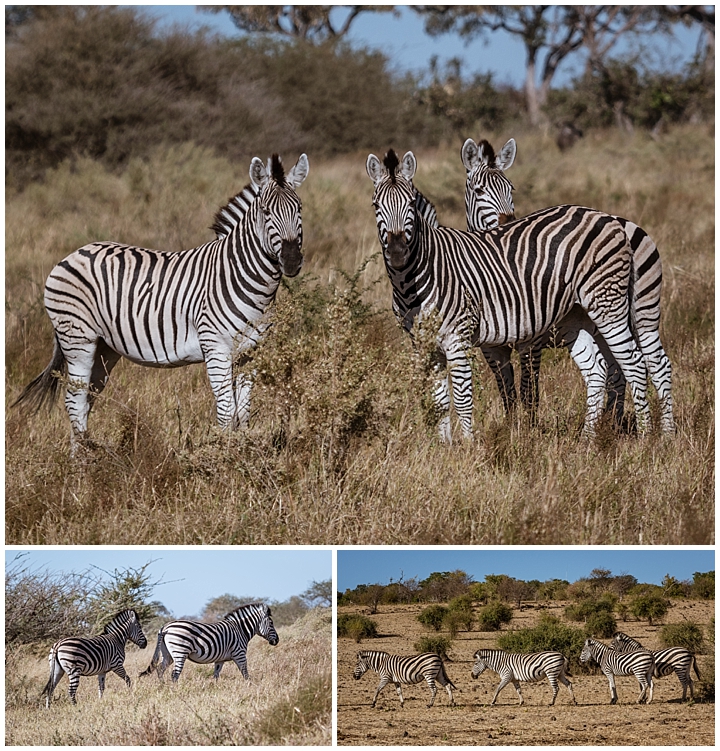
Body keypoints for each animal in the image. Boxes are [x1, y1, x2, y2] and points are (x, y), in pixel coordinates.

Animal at [11, 150, 310, 450]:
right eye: (266, 211)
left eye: (300, 209)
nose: (291, 261)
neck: (246, 280)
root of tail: (74, 253)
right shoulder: (216, 348)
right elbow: (226, 412)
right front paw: (222, 457)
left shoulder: (251, 353)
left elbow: (243, 414)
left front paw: (242, 455)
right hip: (77, 338)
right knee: (74, 399)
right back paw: (81, 463)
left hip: (103, 347)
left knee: (85, 400)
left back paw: (85, 456)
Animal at [140, 604, 278, 684]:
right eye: (271, 623)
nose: (277, 641)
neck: (240, 630)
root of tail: (165, 627)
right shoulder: (240, 654)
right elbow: (245, 673)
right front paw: (249, 686)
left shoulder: (220, 659)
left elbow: (216, 675)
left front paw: (214, 689)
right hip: (180, 651)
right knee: (174, 674)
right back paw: (174, 691)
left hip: (167, 654)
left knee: (160, 669)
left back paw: (163, 687)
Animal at [368, 151, 656, 444]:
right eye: (376, 205)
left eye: (410, 204)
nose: (397, 250)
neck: (414, 278)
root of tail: (609, 217)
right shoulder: (428, 345)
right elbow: (442, 401)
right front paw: (445, 447)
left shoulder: (462, 338)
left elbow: (465, 398)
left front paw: (469, 448)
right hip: (577, 315)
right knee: (599, 370)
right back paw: (589, 439)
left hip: (610, 304)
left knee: (637, 364)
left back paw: (647, 437)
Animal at [462, 135, 676, 434]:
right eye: (479, 190)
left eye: (510, 189)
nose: (509, 223)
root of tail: (624, 224)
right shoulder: (491, 348)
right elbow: (506, 390)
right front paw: (511, 428)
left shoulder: (532, 341)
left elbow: (529, 389)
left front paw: (528, 432)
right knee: (620, 370)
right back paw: (613, 425)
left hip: (643, 310)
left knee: (653, 364)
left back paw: (661, 432)